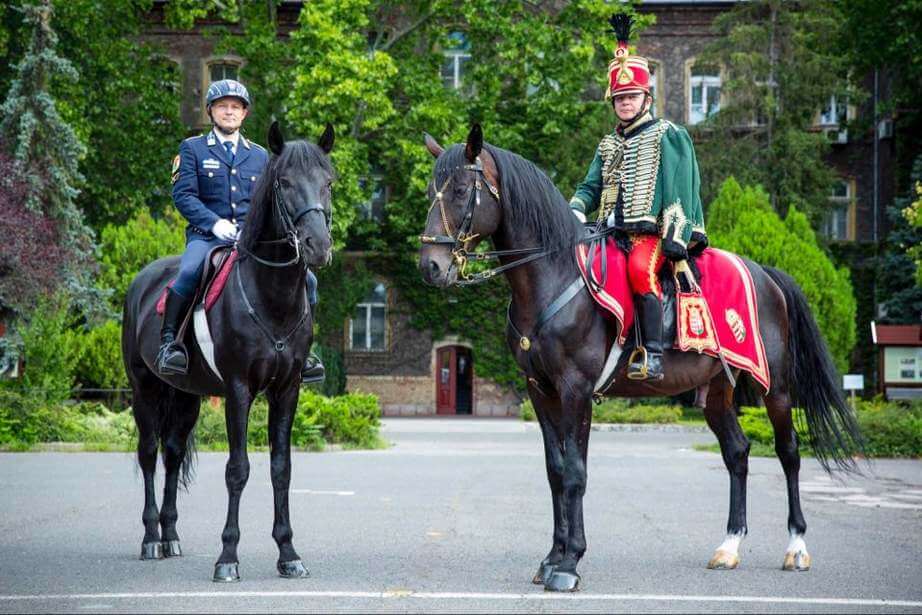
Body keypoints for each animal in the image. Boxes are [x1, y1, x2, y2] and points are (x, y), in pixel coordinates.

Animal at [122, 122, 336, 584]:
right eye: (284, 182)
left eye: (328, 182)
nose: (317, 246)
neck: (271, 296)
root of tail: (144, 279)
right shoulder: (238, 390)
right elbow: (237, 470)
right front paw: (228, 556)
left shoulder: (287, 390)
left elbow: (281, 468)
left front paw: (288, 552)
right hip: (144, 389)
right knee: (149, 454)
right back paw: (150, 538)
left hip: (186, 396)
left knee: (172, 454)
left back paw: (170, 536)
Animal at [416, 124, 864, 592]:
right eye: (431, 191)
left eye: (461, 190)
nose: (431, 266)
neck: (552, 276)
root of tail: (766, 274)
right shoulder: (540, 390)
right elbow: (555, 471)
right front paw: (551, 557)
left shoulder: (576, 388)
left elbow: (575, 472)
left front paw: (570, 562)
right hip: (717, 391)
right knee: (738, 453)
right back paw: (729, 546)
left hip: (774, 386)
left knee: (788, 452)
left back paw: (796, 547)